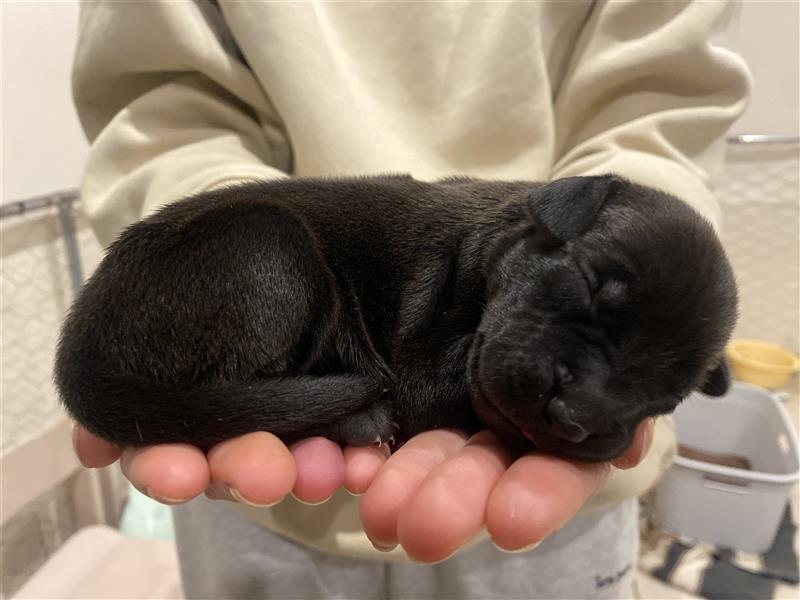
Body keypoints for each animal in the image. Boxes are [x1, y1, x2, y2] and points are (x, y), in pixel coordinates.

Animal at [53, 176, 736, 462]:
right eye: (589, 284)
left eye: (666, 399)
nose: (576, 418)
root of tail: (78, 341)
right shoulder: (419, 366)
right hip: (269, 247)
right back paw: (356, 417)